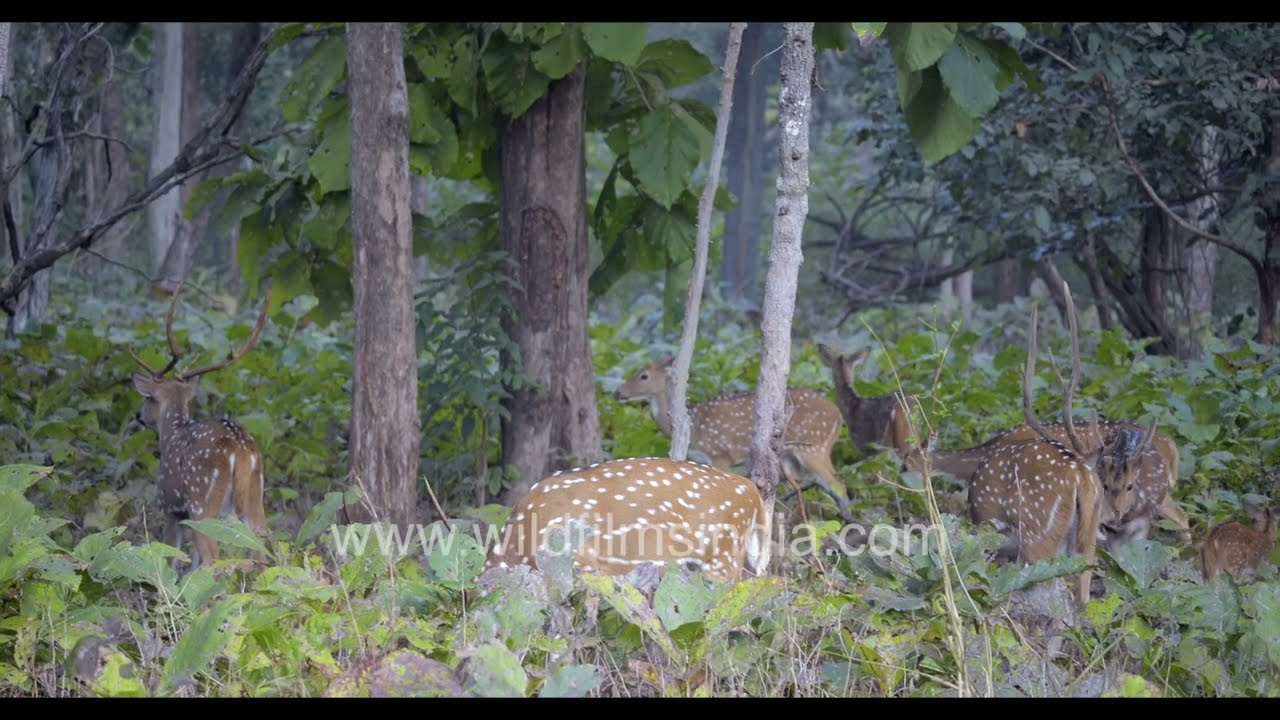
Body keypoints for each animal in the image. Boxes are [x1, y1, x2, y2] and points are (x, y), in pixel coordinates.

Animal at [126, 282, 272, 571]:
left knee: (214, 559)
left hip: (202, 502)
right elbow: (192, 563)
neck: (171, 434)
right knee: (260, 552)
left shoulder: (172, 507)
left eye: (148, 397)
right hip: (255, 494)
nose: (139, 415)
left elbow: (172, 558)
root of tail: (241, 450)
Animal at [614, 357, 851, 520]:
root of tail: (839, 415)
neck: (694, 428)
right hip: (794, 456)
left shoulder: (720, 454)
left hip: (815, 447)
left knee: (838, 484)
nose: (618, 393)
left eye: (643, 375)